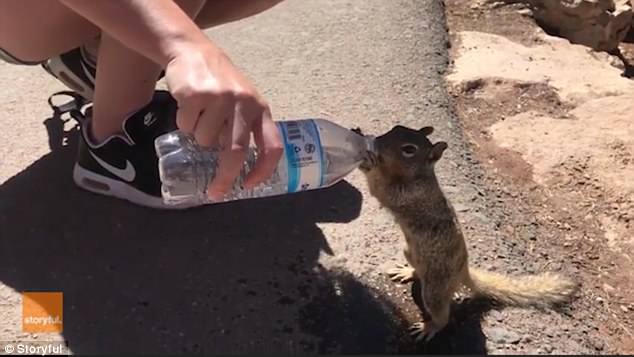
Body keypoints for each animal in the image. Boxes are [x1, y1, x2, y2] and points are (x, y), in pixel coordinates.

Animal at [350, 124, 576, 340]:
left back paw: (429, 327)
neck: (418, 175)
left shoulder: (407, 194)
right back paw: (408, 272)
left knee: (442, 315)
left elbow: (379, 188)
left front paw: (367, 159)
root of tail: (463, 271)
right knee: (418, 272)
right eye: (396, 128)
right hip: (410, 252)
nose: (376, 142)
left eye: (409, 149)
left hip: (435, 289)